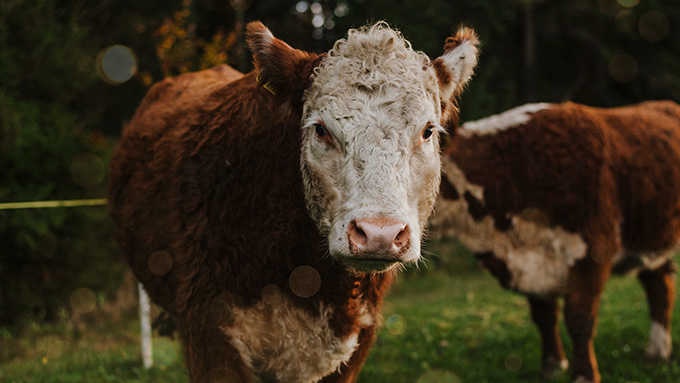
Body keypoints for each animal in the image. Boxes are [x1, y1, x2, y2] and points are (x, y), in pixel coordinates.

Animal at [430, 101, 680, 383]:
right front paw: (552, 366)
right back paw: (657, 351)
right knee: (660, 284)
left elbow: (580, 319)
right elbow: (544, 316)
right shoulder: (529, 264)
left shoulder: (592, 250)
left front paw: (584, 374)